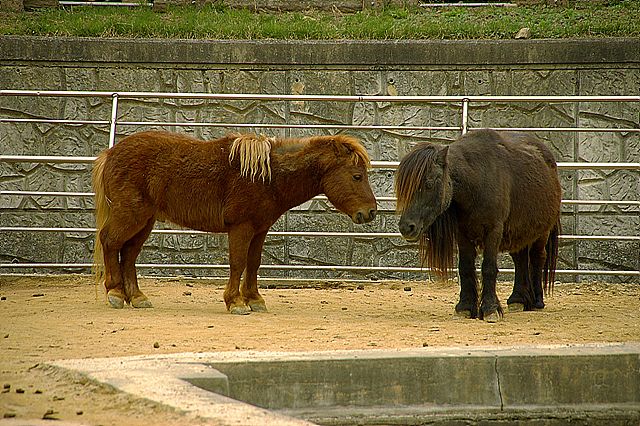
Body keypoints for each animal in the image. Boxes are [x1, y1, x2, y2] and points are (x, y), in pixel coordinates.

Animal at [92, 131, 378, 314]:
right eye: (357, 176)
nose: (371, 212)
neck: (267, 176)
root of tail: (111, 153)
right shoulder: (241, 227)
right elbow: (238, 262)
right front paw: (236, 302)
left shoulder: (260, 229)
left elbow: (253, 263)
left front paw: (254, 299)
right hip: (131, 216)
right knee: (110, 242)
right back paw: (115, 293)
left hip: (144, 221)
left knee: (129, 253)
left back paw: (137, 297)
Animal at [396, 130, 560, 322]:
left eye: (428, 184)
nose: (406, 227)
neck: (477, 180)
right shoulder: (462, 234)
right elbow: (465, 267)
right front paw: (465, 307)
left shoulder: (494, 231)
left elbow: (488, 268)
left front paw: (490, 309)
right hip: (518, 231)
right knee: (520, 260)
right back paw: (518, 299)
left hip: (542, 233)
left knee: (537, 258)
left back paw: (537, 301)